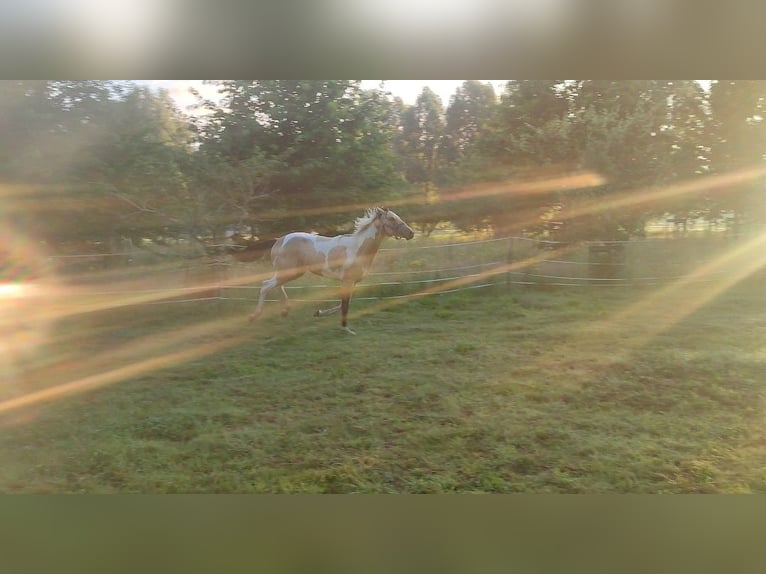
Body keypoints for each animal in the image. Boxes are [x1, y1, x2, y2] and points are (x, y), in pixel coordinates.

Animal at [250, 207, 414, 336]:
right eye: (392, 218)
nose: (411, 233)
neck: (357, 249)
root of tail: (279, 240)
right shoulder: (347, 281)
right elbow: (345, 306)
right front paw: (346, 329)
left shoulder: (352, 283)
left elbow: (342, 304)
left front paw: (318, 313)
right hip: (289, 272)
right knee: (266, 285)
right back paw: (256, 315)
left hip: (292, 273)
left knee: (276, 285)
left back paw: (284, 311)